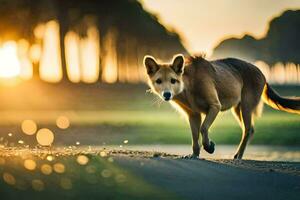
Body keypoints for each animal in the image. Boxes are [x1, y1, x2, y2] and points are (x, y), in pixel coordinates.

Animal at [143, 53, 300, 159]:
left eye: (173, 80)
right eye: (158, 81)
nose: (167, 94)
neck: (189, 85)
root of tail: (262, 73)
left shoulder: (215, 106)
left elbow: (203, 128)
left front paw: (209, 146)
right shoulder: (193, 114)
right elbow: (195, 136)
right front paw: (195, 154)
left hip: (246, 106)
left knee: (248, 129)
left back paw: (238, 156)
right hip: (237, 108)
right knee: (250, 129)